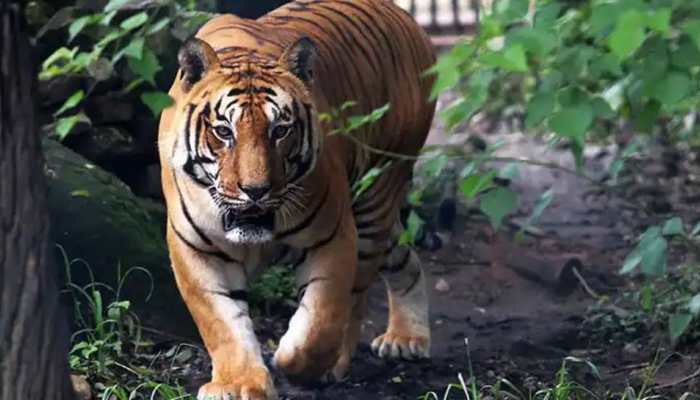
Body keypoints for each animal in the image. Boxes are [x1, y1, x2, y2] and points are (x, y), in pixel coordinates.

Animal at [157, 1, 436, 398]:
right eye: (224, 131)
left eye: (280, 130)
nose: (255, 190)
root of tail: (404, 16)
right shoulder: (196, 249)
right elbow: (221, 322)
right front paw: (238, 383)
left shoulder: (333, 236)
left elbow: (321, 318)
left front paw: (295, 365)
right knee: (403, 257)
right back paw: (407, 337)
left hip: (376, 196)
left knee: (356, 295)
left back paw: (344, 360)